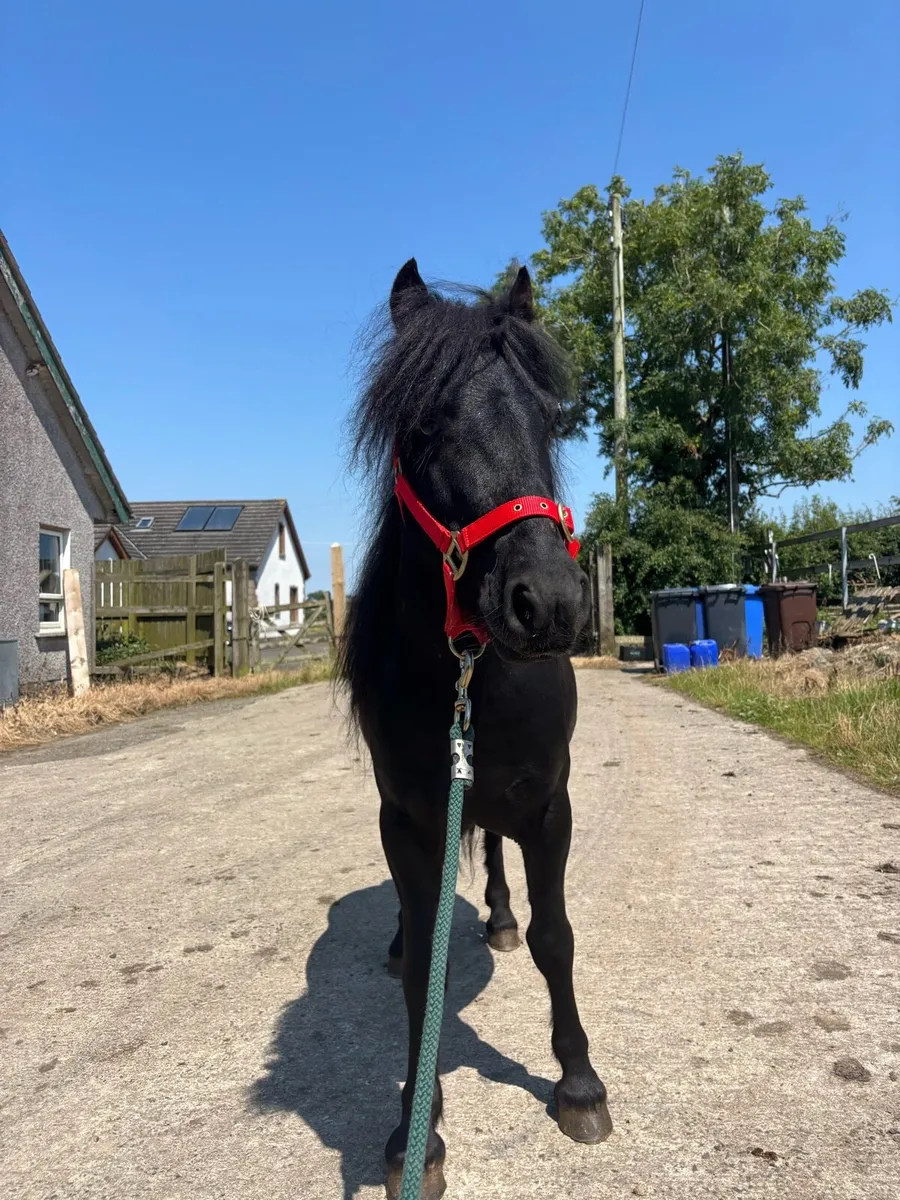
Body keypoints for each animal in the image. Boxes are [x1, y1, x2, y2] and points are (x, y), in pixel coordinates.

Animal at [340, 259, 612, 1198]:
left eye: (549, 417)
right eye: (423, 425)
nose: (550, 603)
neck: (469, 674)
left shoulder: (551, 807)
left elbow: (557, 938)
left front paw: (579, 1084)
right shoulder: (408, 819)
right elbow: (425, 968)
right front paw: (415, 1137)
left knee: (494, 854)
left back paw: (496, 915)